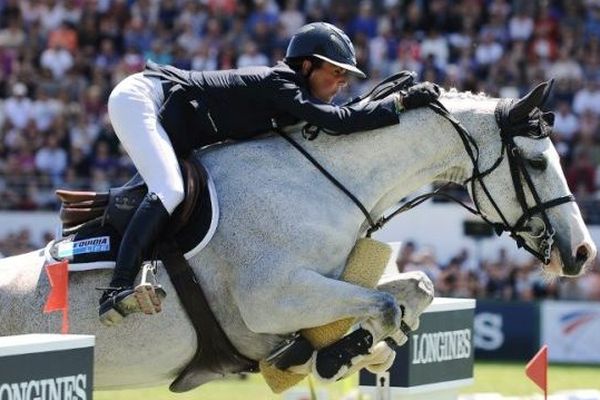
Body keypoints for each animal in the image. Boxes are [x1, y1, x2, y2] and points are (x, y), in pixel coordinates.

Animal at [0, 81, 592, 390]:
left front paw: (345, 352)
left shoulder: (328, 284)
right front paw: (332, 356)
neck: (322, 180)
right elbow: (383, 307)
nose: (582, 253)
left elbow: (413, 290)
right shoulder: (273, 297)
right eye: (537, 162)